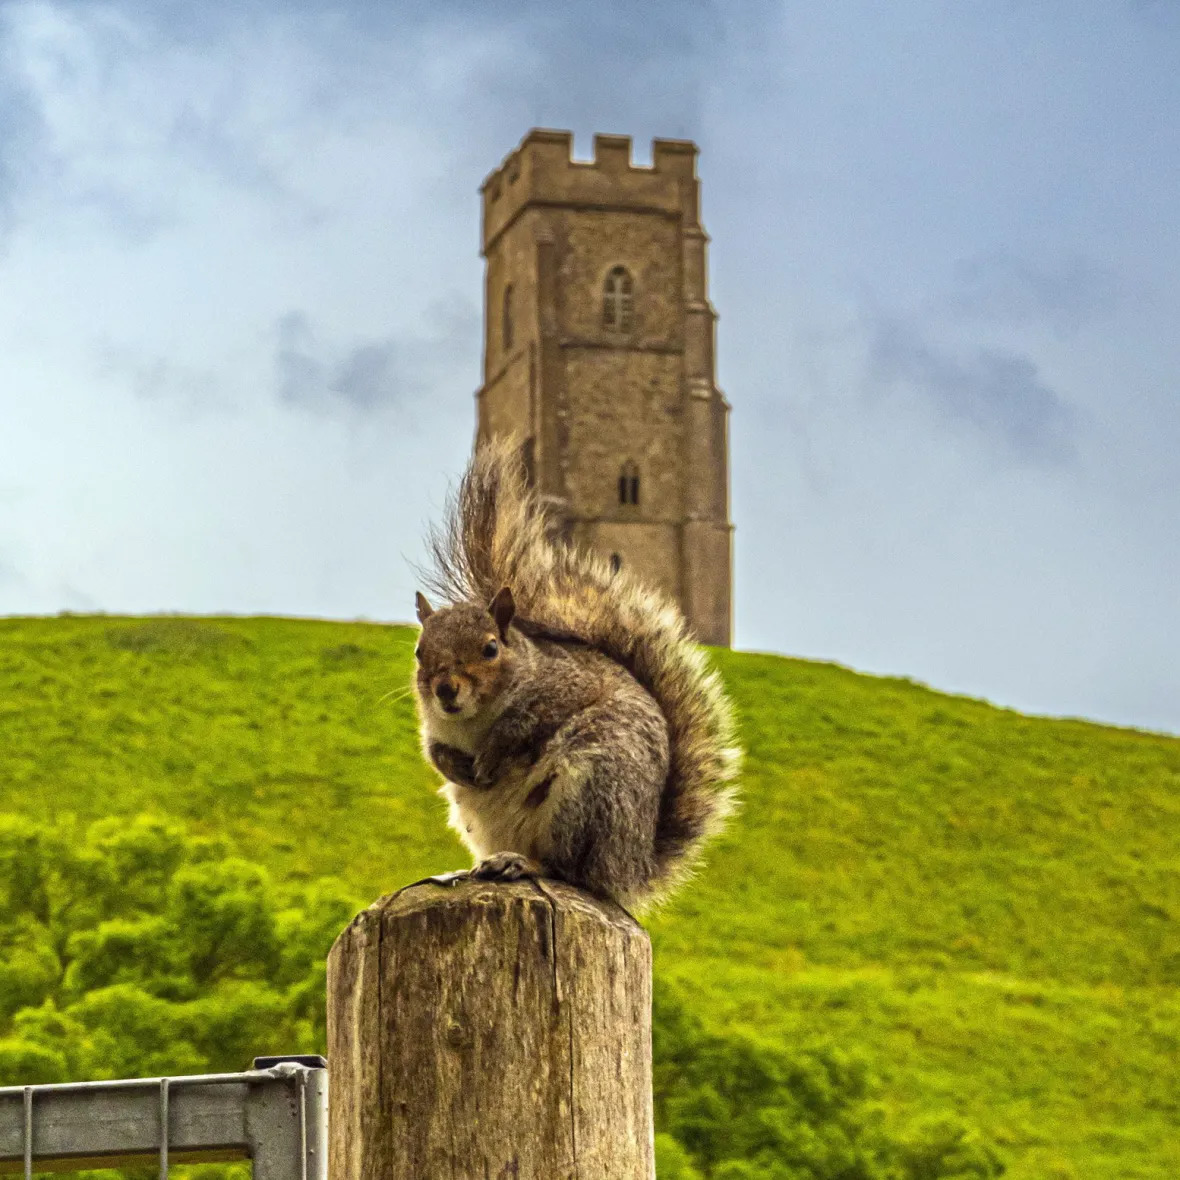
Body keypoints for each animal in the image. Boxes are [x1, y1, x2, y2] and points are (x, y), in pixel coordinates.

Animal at [411, 439, 740, 910]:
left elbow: (527, 724)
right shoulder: (435, 727)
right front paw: (453, 765)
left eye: (491, 648)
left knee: (572, 869)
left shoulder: (565, 688)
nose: (445, 690)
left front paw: (493, 754)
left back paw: (524, 863)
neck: (473, 720)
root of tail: (631, 868)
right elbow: (433, 749)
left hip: (590, 790)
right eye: (420, 652)